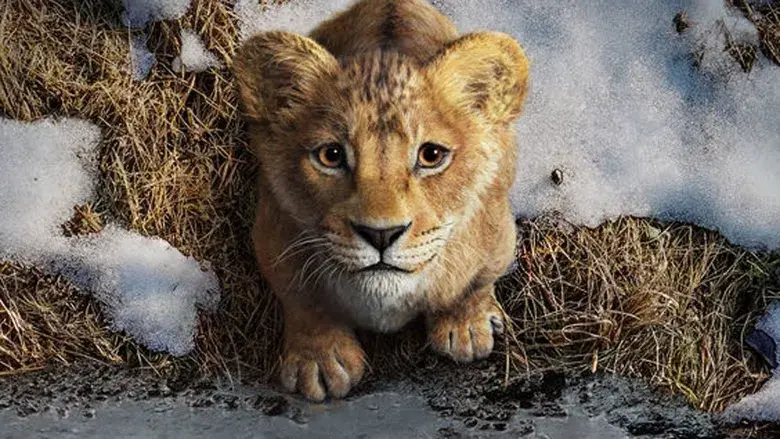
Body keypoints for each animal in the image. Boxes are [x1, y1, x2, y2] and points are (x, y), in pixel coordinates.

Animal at [233, 0, 530, 401]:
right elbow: (302, 299)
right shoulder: (272, 233)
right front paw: (320, 361)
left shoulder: (497, 233)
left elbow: (475, 281)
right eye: (330, 155)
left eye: (432, 155)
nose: (381, 234)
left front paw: (466, 325)